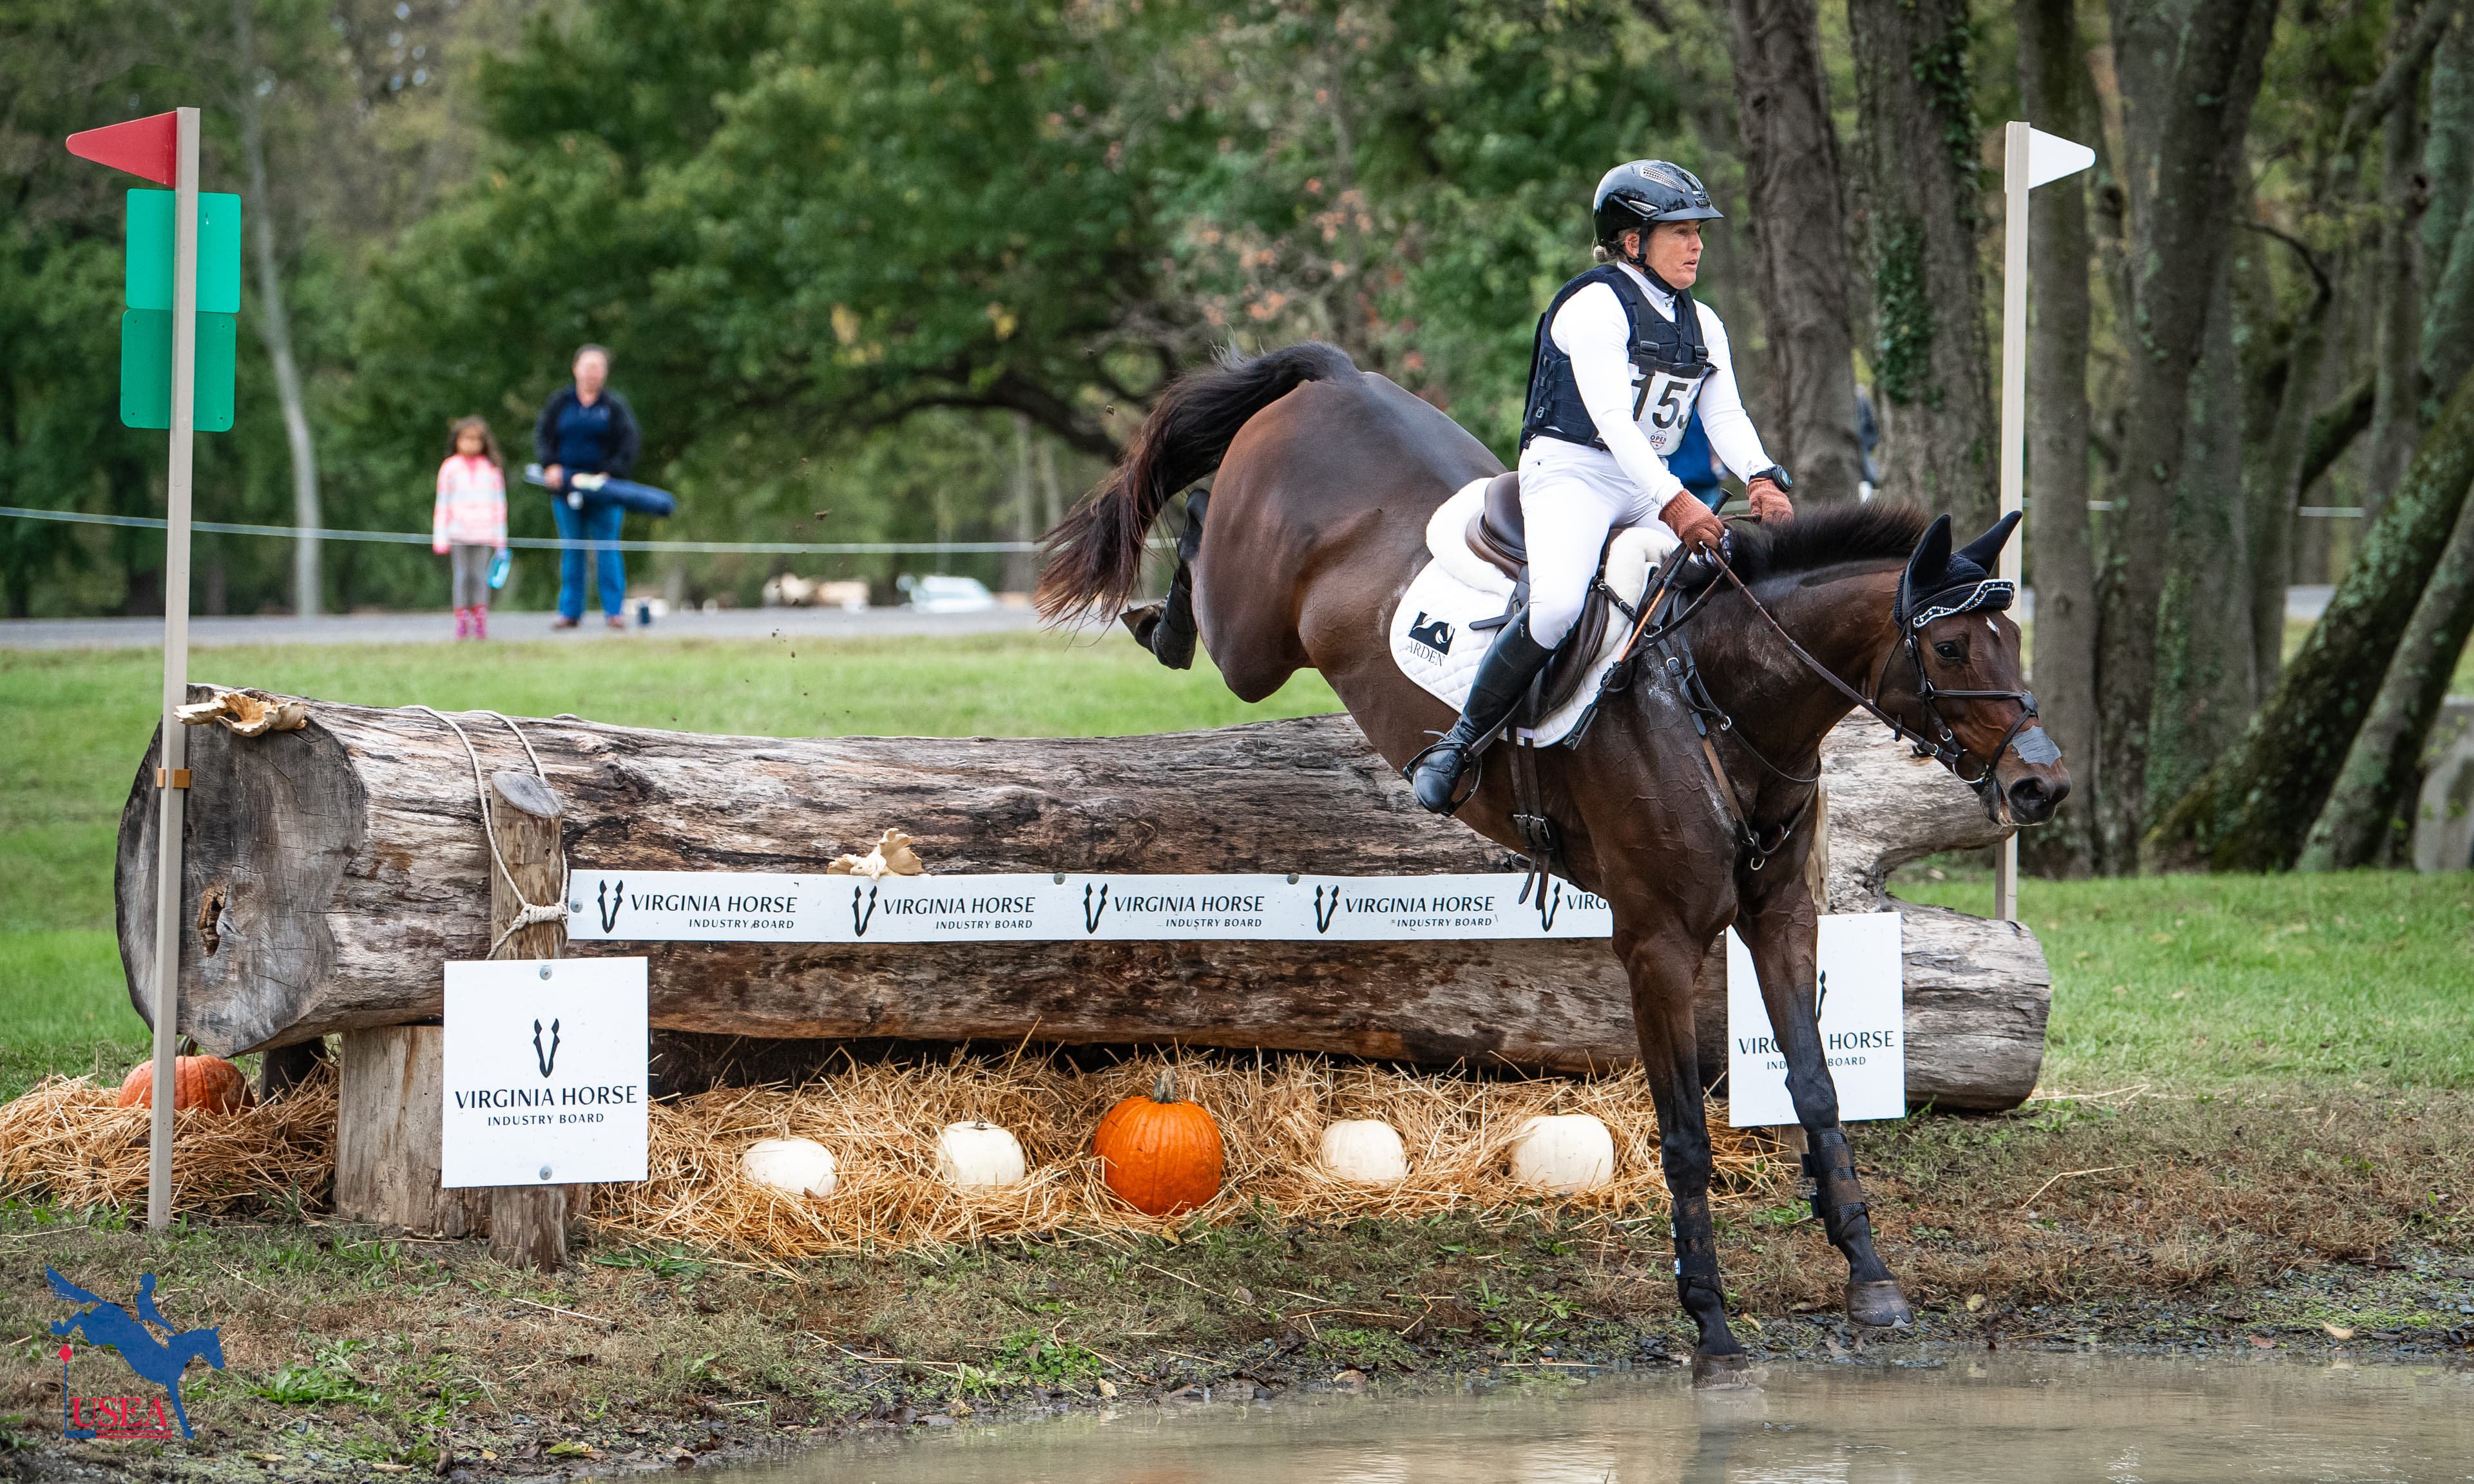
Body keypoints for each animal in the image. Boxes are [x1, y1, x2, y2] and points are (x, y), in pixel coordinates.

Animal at [48, 1267, 225, 1439]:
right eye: (213, 1345)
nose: (222, 1365)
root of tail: (105, 1303)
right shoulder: (170, 1382)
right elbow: (179, 1408)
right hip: (98, 1335)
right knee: (80, 1316)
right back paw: (61, 1329)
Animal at [1036, 342, 2068, 1382]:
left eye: (2014, 637)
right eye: (1949, 646)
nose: (2041, 788)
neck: (1718, 699)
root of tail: (1336, 377)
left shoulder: (1781, 921)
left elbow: (1817, 1089)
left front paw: (1870, 1278)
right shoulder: (1656, 944)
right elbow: (1685, 1135)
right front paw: (1711, 1321)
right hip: (1252, 635)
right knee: (1202, 541)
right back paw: (1160, 620)